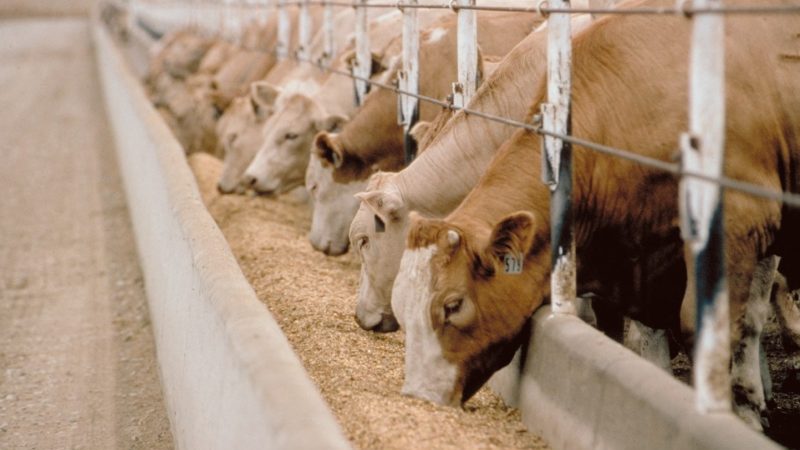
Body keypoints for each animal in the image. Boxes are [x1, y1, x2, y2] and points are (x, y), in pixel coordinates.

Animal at [390, 2, 800, 430]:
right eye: (402, 306)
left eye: (452, 306)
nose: (419, 396)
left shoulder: (741, 221)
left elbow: (720, 329)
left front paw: (741, 411)